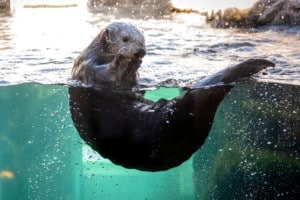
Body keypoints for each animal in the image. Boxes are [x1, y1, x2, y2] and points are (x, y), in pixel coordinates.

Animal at [69, 22, 276, 172]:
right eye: (125, 39)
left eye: (143, 40)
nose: (140, 51)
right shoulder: (87, 68)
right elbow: (105, 75)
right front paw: (122, 61)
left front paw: (134, 65)